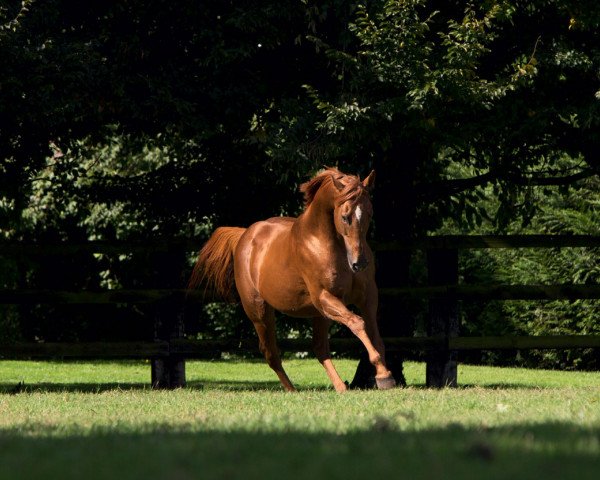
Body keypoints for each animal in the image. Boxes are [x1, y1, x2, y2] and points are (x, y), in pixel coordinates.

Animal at [190, 167, 396, 392]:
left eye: (369, 213)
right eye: (345, 216)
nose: (359, 263)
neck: (327, 243)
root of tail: (244, 235)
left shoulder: (367, 297)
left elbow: (375, 335)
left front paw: (385, 376)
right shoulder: (324, 297)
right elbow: (357, 323)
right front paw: (383, 374)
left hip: (318, 314)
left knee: (319, 348)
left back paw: (340, 387)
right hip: (260, 312)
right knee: (271, 353)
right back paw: (292, 390)